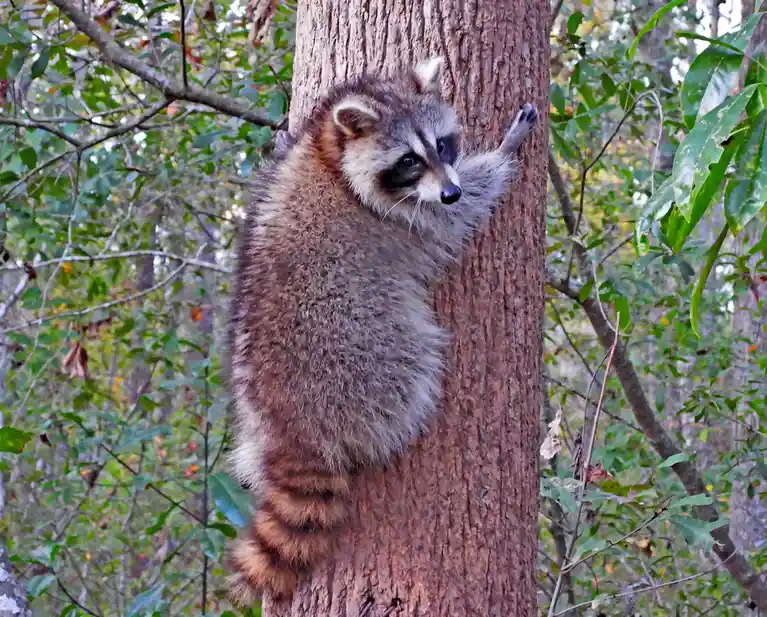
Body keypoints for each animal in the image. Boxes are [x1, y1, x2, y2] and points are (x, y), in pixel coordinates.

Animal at [227, 56, 538, 605]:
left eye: (441, 145)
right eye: (409, 161)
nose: (450, 190)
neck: (330, 151)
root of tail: (291, 432)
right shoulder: (405, 221)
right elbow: (456, 218)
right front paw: (504, 151)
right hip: (365, 350)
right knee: (413, 367)